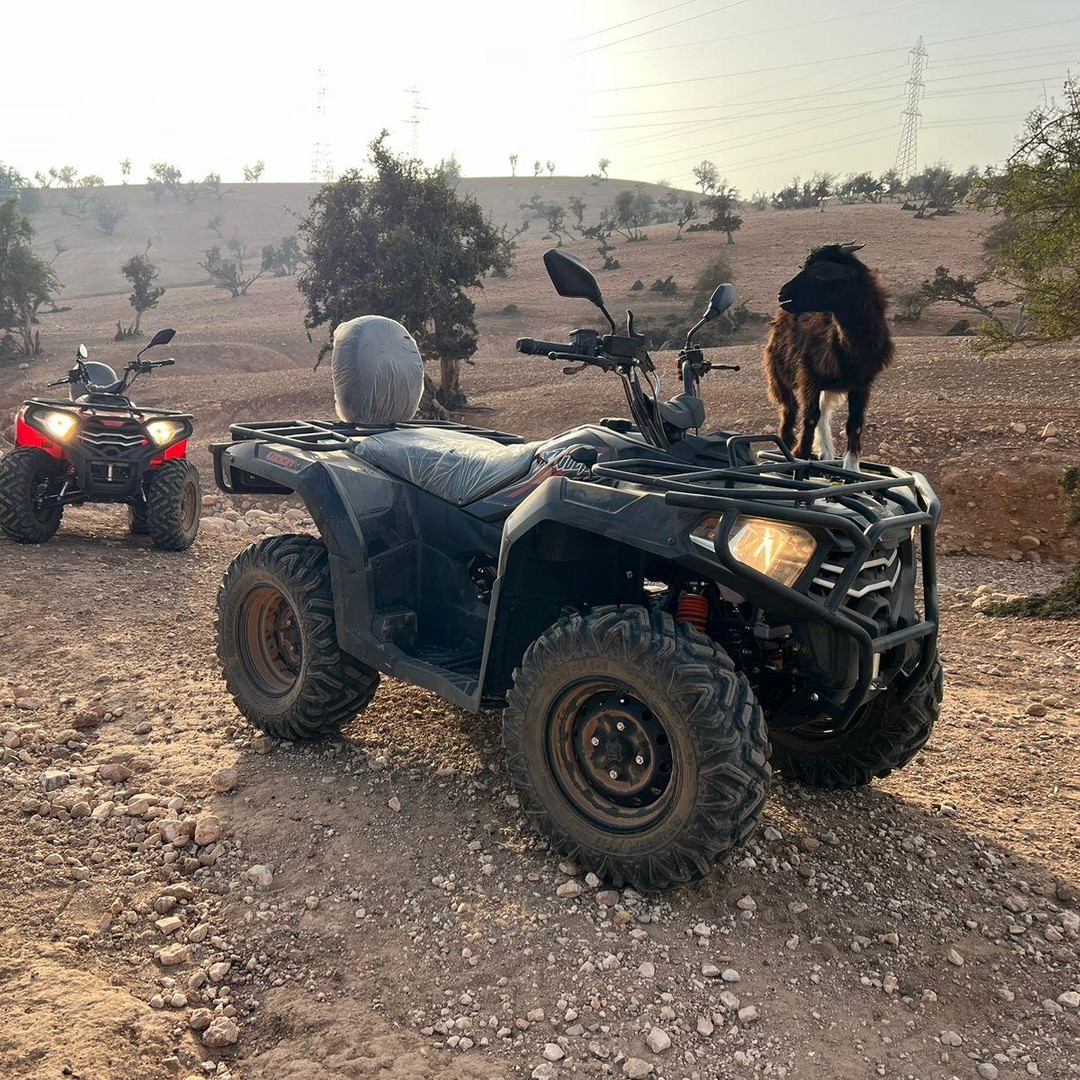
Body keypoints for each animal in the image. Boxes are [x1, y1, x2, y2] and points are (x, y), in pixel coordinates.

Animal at [763, 242, 893, 472]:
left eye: (819, 273)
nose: (782, 294)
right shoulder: (809, 376)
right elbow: (810, 417)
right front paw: (800, 454)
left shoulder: (861, 384)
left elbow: (854, 424)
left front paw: (851, 466)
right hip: (778, 372)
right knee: (790, 409)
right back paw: (788, 443)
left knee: (821, 413)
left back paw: (825, 452)